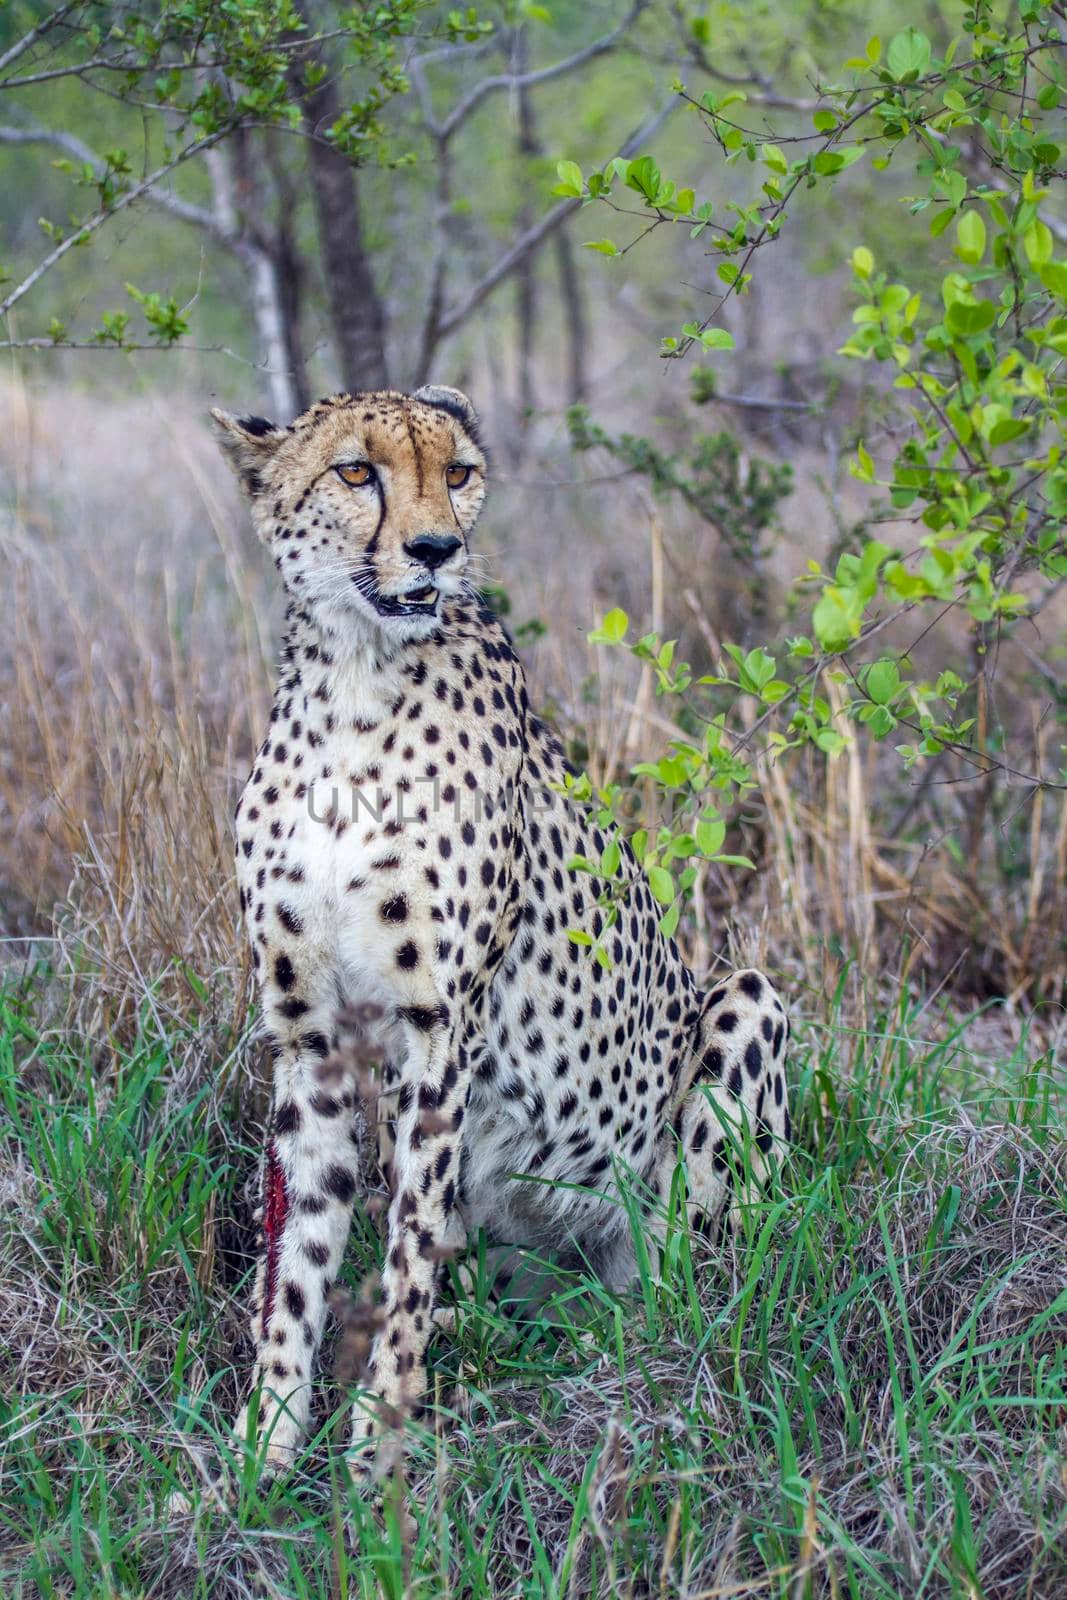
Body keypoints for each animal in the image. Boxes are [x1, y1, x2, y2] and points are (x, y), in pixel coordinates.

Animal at [212, 384, 790, 1472]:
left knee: (694, 1298)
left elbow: (405, 1252)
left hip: (742, 1010)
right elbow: (297, 1260)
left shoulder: (440, 1034)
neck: (355, 685)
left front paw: (376, 1452)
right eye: (356, 472)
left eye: (459, 472)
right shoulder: (310, 1040)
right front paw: (259, 1453)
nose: (437, 548)